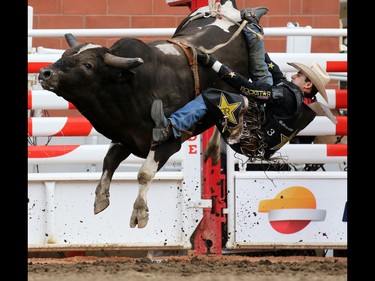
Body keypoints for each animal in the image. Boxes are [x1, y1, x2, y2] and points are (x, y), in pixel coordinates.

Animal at [37, 0, 253, 228]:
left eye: (88, 65)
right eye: (64, 55)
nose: (45, 73)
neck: (132, 86)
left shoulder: (169, 141)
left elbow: (144, 173)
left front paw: (139, 212)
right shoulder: (124, 137)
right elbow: (109, 161)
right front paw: (101, 198)